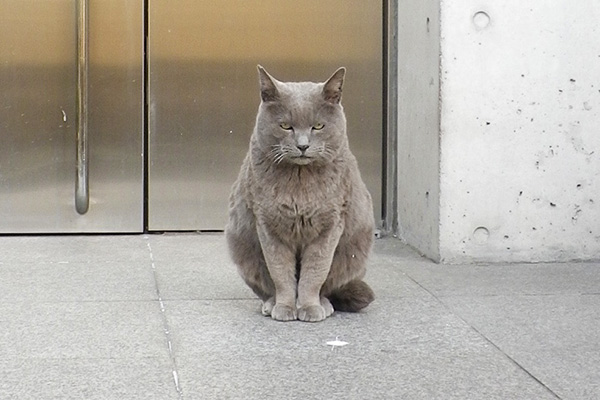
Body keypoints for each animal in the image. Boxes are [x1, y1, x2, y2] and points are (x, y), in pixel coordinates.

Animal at [226, 66, 376, 322]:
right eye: (286, 126)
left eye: (318, 126)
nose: (303, 145)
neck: (299, 180)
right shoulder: (267, 225)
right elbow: (280, 272)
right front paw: (285, 308)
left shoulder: (330, 226)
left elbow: (314, 273)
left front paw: (309, 307)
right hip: (240, 244)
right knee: (266, 285)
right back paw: (271, 304)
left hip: (354, 249)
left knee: (329, 285)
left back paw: (324, 304)